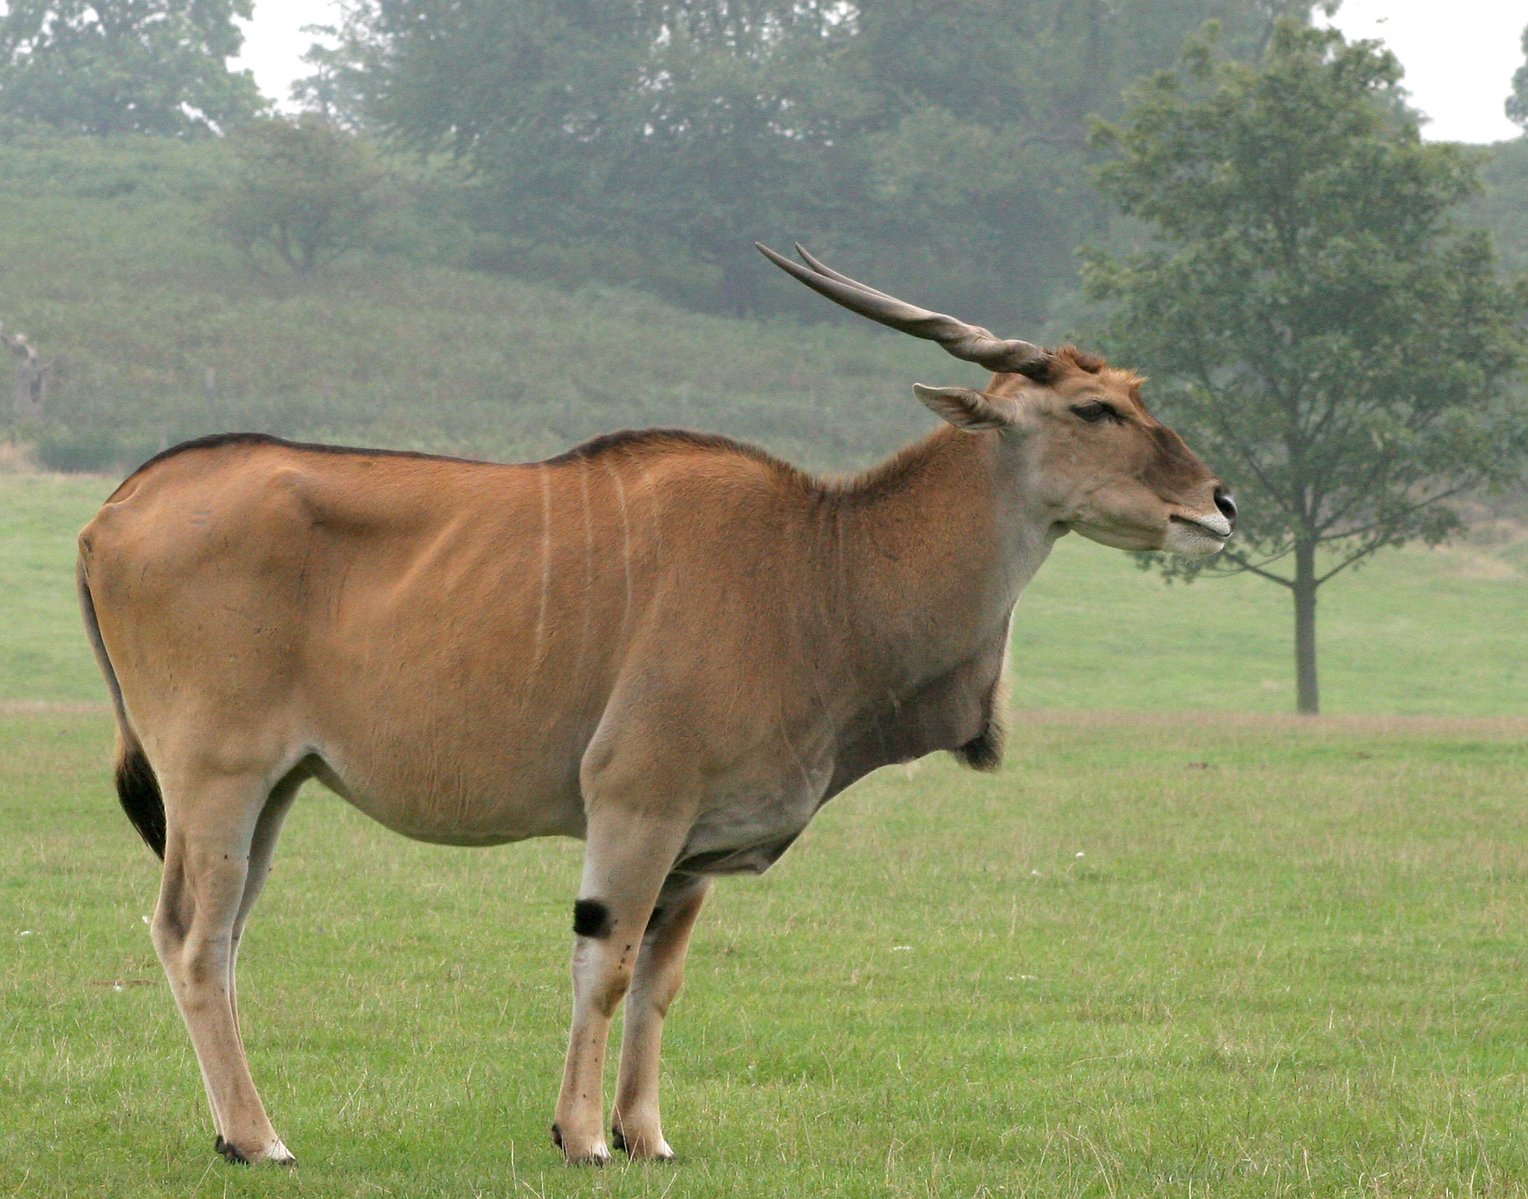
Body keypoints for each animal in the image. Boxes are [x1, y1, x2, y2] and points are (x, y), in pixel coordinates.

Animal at [77, 238, 1234, 1166]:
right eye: (1095, 408)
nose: (1217, 504)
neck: (823, 564)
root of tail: (117, 507)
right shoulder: (637, 805)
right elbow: (606, 961)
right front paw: (583, 1136)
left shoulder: (695, 845)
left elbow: (660, 983)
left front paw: (646, 1134)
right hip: (217, 776)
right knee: (189, 934)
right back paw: (258, 1137)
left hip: (274, 788)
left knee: (225, 935)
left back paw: (236, 1126)